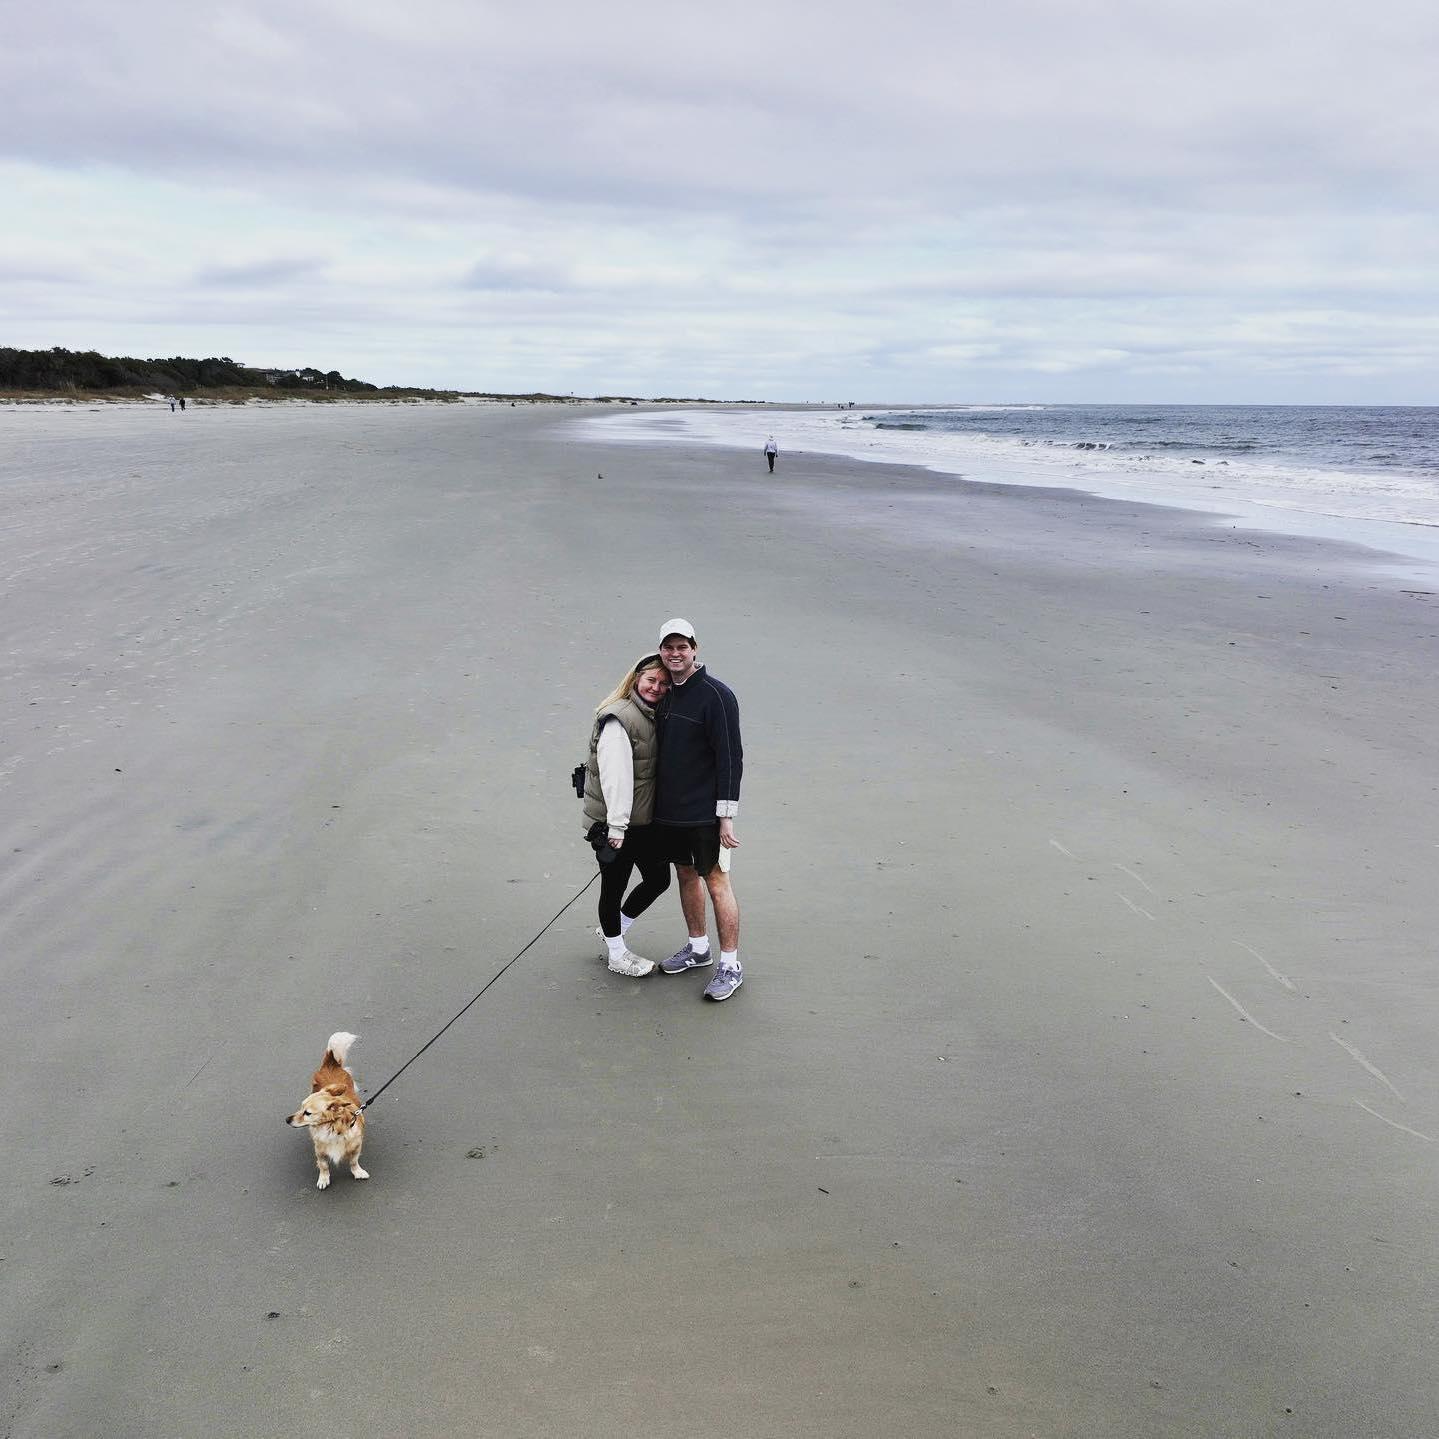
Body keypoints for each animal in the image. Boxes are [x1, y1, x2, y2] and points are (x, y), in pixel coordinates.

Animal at [283, 1036, 368, 1191]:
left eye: (307, 1113)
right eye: (300, 1107)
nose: (287, 1119)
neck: (331, 1128)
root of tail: (331, 1063)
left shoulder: (356, 1146)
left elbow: (353, 1161)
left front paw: (358, 1172)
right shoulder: (320, 1150)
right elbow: (323, 1166)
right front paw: (323, 1179)